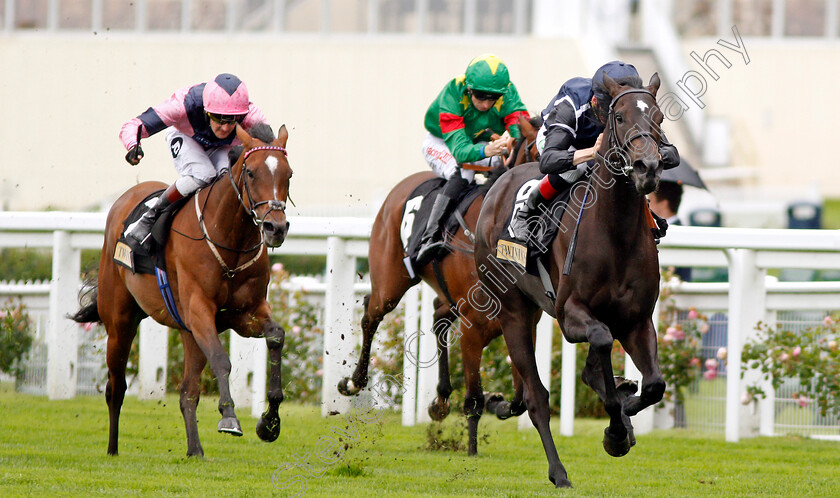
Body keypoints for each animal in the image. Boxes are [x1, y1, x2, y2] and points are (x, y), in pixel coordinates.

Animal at [70, 121, 292, 456]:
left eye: (288, 174)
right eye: (252, 173)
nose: (275, 228)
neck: (229, 242)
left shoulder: (244, 314)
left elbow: (276, 336)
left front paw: (270, 423)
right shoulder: (199, 311)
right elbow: (221, 360)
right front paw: (229, 416)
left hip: (187, 332)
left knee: (188, 392)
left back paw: (195, 450)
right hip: (120, 321)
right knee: (116, 387)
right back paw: (112, 449)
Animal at [336, 114, 540, 456]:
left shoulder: (523, 323)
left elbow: (520, 399)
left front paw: (497, 402)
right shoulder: (475, 326)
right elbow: (475, 399)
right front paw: (471, 450)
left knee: (438, 317)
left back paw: (441, 399)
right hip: (391, 280)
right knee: (370, 314)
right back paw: (354, 381)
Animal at [476, 73, 668, 486]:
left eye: (659, 117)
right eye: (620, 117)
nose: (648, 167)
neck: (615, 233)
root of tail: (499, 185)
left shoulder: (637, 320)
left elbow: (654, 385)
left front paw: (626, 411)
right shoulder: (569, 313)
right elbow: (602, 342)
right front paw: (616, 430)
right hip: (513, 313)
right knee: (536, 398)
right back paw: (559, 472)